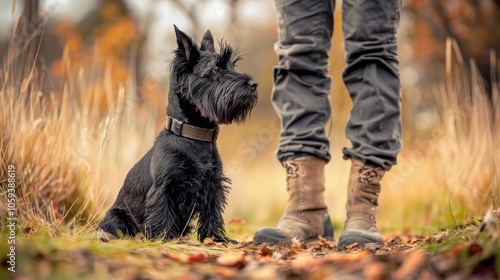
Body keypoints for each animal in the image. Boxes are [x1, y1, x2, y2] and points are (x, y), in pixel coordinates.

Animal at [96, 25, 258, 242]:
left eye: (232, 66)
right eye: (215, 68)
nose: (254, 84)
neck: (194, 135)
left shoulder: (213, 185)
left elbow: (212, 213)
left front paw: (215, 238)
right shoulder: (165, 186)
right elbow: (162, 213)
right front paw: (161, 238)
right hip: (118, 217)